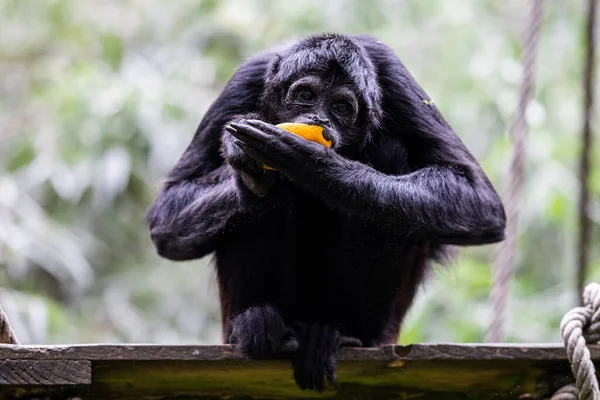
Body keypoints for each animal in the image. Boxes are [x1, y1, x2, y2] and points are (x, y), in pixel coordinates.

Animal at [146, 33, 506, 390]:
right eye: (306, 95)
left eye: (341, 107)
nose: (319, 119)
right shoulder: (247, 78)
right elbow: (167, 219)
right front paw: (252, 170)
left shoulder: (395, 79)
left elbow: (481, 204)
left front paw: (314, 165)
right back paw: (257, 326)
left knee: (390, 151)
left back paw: (335, 334)